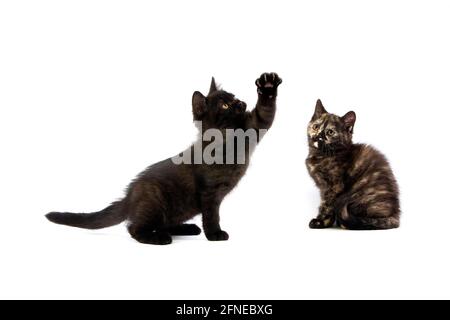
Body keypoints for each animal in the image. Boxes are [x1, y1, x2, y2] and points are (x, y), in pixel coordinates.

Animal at [45, 72, 282, 245]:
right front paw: (215, 234)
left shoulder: (253, 126)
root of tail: (130, 194)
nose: (241, 103)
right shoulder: (209, 193)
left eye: (234, 97)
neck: (227, 139)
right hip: (156, 202)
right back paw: (158, 238)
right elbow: (212, 215)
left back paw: (186, 228)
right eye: (225, 105)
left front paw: (268, 87)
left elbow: (263, 114)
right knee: (134, 227)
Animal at [306, 100, 400, 230]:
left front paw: (320, 222)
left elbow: (326, 205)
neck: (321, 154)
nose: (318, 136)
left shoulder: (333, 187)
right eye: (316, 126)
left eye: (330, 132)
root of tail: (395, 215)